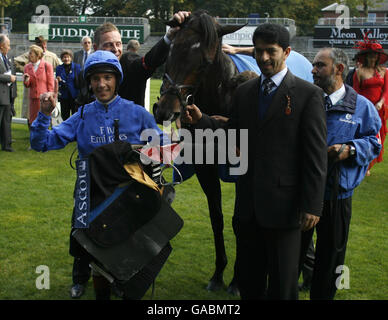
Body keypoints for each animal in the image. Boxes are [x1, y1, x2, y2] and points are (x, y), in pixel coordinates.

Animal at [152, 10, 246, 296]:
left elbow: (241, 221)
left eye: (204, 63)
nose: (165, 110)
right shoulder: (206, 169)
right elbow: (217, 217)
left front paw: (237, 281)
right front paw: (218, 274)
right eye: (171, 51)